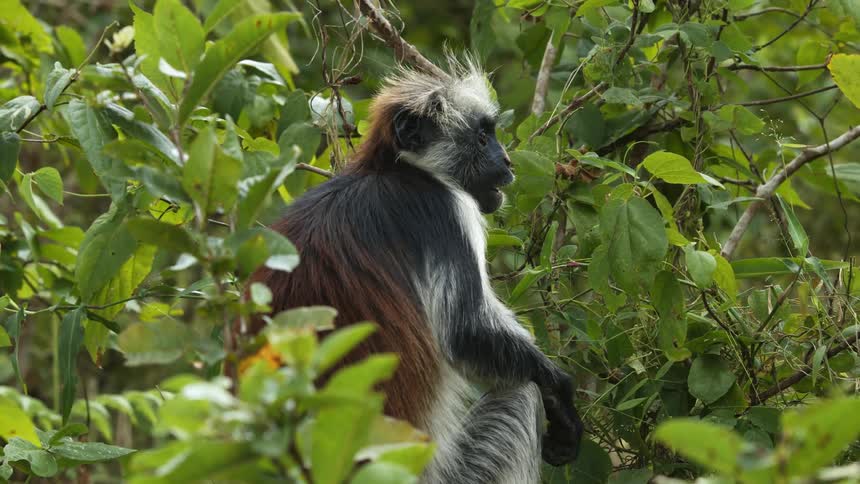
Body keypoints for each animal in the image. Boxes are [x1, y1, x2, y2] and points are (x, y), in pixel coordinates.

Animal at [249, 59, 583, 483]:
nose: (506, 162)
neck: (395, 171)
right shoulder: (445, 210)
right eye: (481, 139)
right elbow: (468, 333)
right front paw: (562, 396)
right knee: (522, 392)